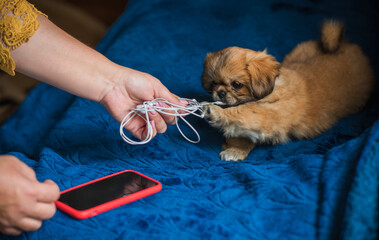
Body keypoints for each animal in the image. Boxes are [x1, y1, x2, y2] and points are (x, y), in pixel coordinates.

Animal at [203, 21, 376, 161]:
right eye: (214, 83)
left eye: (237, 84)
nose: (220, 93)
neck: (272, 89)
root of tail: (343, 45)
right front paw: (235, 148)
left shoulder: (270, 115)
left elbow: (241, 113)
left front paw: (215, 112)